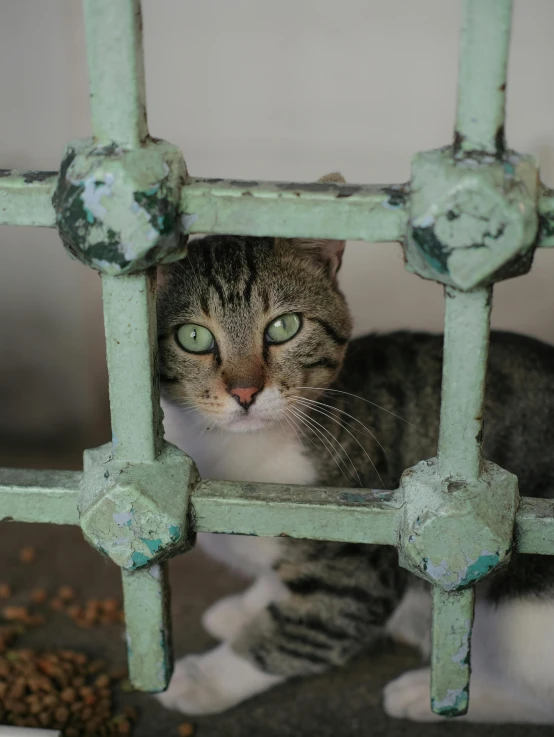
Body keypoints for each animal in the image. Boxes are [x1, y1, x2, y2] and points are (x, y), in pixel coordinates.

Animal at [153, 174, 552, 724]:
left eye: (284, 327)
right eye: (192, 337)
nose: (245, 391)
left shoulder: (362, 560)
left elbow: (304, 631)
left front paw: (204, 678)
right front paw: (247, 606)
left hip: (521, 609)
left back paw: (429, 695)